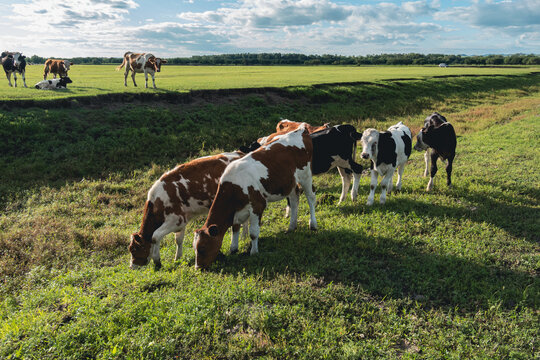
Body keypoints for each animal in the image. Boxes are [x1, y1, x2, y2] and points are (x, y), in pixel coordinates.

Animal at [193, 125, 316, 268]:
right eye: (194, 248)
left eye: (202, 248)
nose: (198, 268)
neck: (234, 186)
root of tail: (300, 130)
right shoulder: (237, 211)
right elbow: (235, 229)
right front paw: (233, 249)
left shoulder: (257, 206)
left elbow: (253, 232)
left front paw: (254, 252)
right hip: (289, 183)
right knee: (294, 199)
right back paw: (291, 227)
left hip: (306, 175)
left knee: (311, 198)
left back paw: (313, 224)